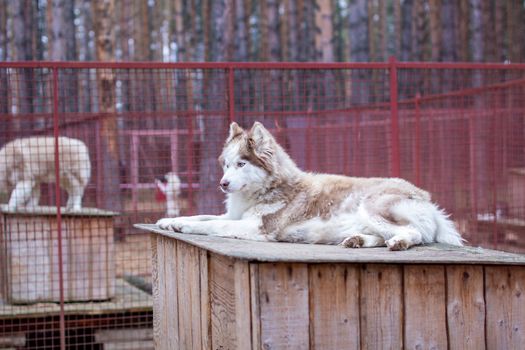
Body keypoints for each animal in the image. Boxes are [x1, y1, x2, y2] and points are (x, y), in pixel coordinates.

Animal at [157, 121, 462, 250]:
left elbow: (211, 224)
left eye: (242, 164)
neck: (267, 188)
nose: (222, 184)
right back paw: (358, 241)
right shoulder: (234, 216)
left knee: (413, 233)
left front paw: (182, 226)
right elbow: (202, 215)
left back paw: (398, 242)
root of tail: (428, 199)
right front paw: (169, 221)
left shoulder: (257, 228)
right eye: (226, 165)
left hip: (370, 206)